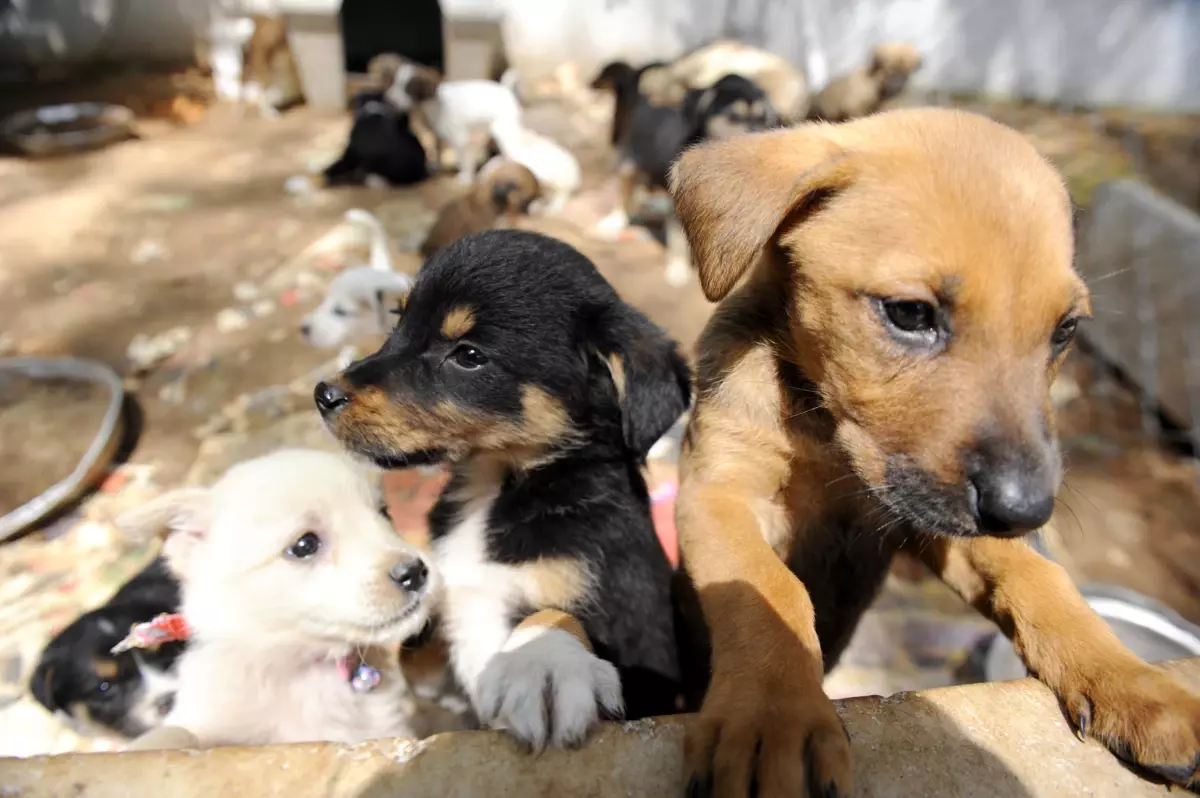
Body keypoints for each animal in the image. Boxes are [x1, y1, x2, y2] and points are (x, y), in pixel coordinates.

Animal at [119, 451, 448, 748]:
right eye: (305, 545)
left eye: (385, 513)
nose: (415, 572)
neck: (307, 671)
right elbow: (178, 733)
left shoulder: (388, 728)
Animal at [316, 229, 696, 748]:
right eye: (398, 319)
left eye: (469, 356)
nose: (323, 395)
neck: (495, 487)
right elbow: (416, 645)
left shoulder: (621, 617)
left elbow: (551, 616)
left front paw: (543, 662)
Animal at [672, 107, 1200, 796]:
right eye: (909, 313)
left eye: (1066, 330)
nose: (1029, 513)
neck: (830, 436)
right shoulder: (720, 494)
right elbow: (766, 589)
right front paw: (772, 716)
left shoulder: (932, 523)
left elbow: (1035, 574)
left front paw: (1127, 679)